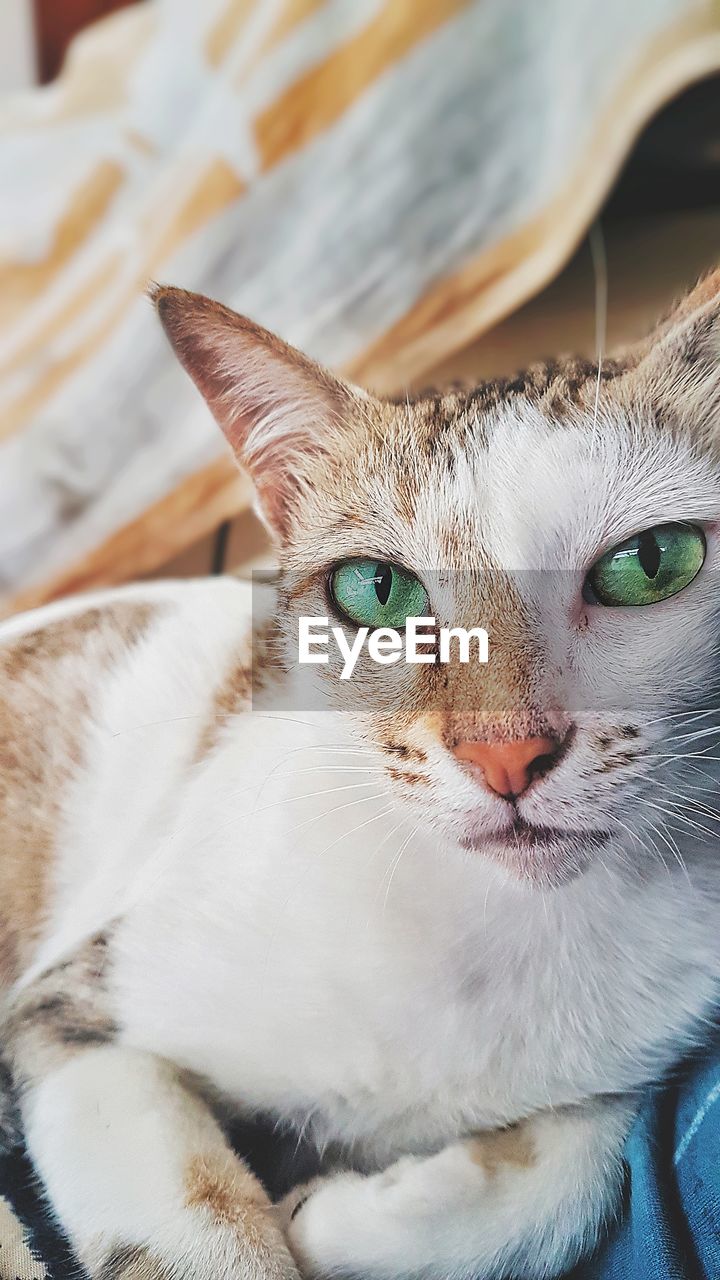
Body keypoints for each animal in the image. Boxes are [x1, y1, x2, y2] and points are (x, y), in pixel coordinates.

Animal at [1, 270, 717, 1280]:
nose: (504, 750)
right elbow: (194, 1230)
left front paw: (347, 1223)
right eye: (376, 591)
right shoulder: (68, 1013)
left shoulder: (652, 1036)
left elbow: (587, 1166)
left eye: (652, 563)